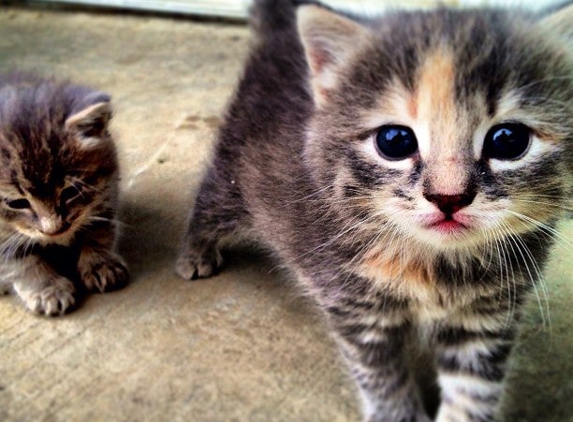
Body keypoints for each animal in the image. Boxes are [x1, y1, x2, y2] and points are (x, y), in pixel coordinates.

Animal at [0, 73, 127, 316]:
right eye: (17, 203)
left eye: (70, 191)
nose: (53, 230)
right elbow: (18, 260)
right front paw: (46, 288)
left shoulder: (107, 191)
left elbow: (100, 227)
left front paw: (99, 262)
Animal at [177, 1, 568, 420]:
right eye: (394, 141)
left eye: (508, 140)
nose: (448, 197)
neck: (436, 265)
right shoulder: (355, 305)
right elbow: (382, 378)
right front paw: (397, 412)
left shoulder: (487, 318)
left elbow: (473, 392)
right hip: (235, 170)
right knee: (210, 199)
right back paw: (195, 253)